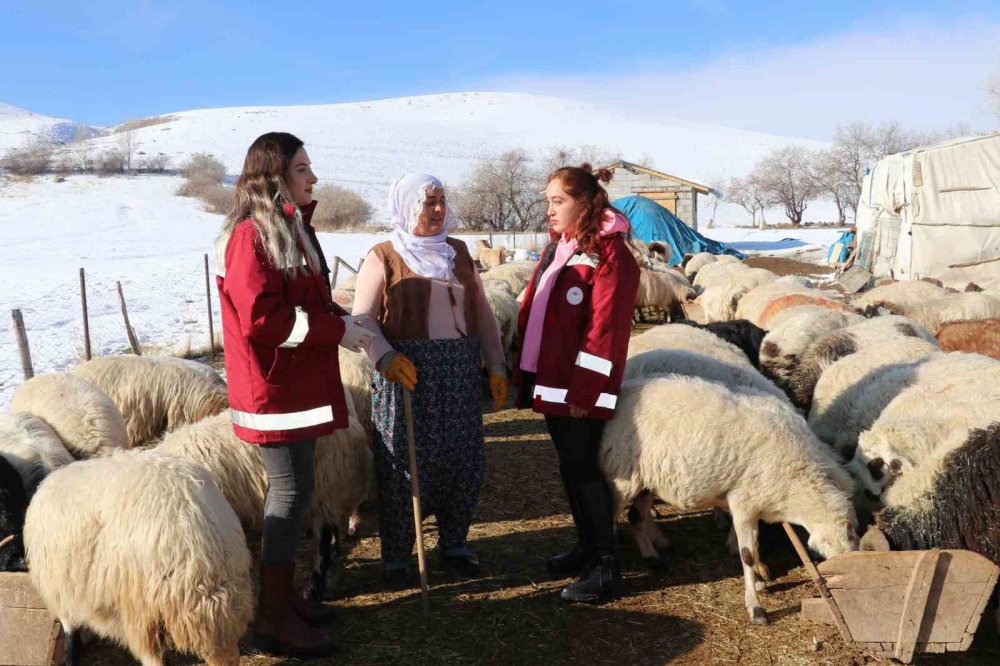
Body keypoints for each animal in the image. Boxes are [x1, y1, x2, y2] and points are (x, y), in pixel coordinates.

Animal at [24, 446, 254, 664]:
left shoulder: (61, 589)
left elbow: (71, 637)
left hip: (141, 602)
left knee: (152, 657)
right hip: (223, 607)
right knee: (226, 654)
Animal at [600, 374, 860, 624]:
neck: (798, 481)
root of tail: (624, 389)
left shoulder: (754, 504)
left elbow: (754, 544)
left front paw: (759, 581)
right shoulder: (743, 503)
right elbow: (747, 554)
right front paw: (756, 609)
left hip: (648, 479)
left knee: (635, 517)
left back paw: (652, 558)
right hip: (621, 475)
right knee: (610, 519)